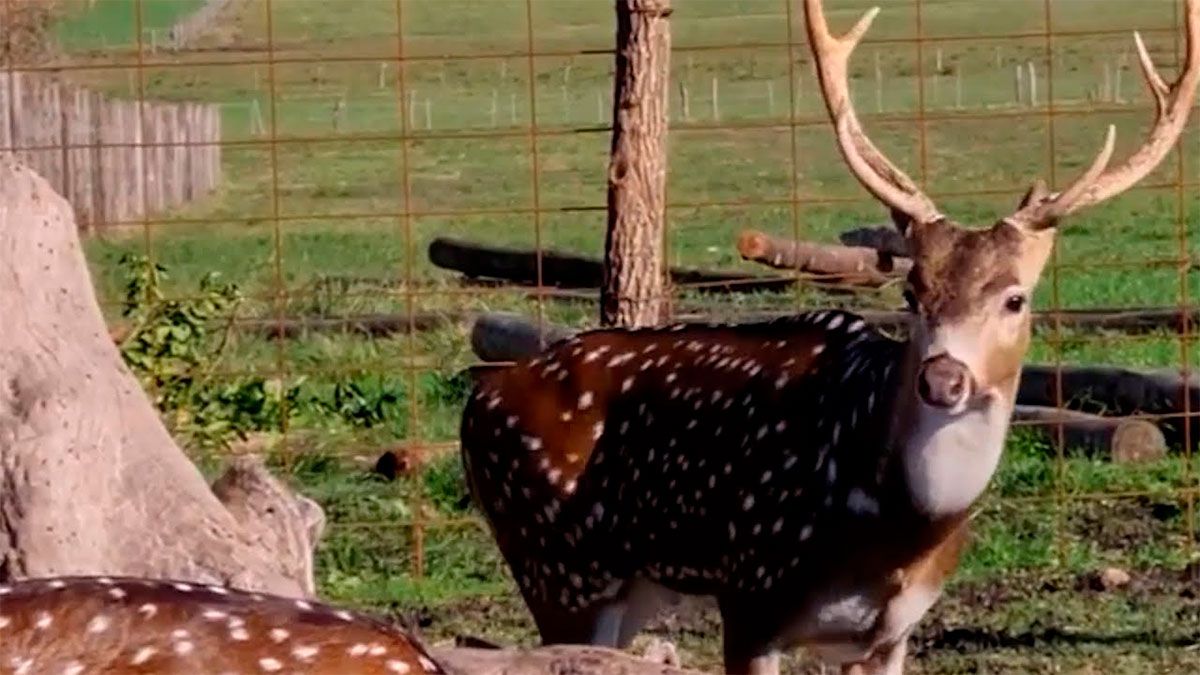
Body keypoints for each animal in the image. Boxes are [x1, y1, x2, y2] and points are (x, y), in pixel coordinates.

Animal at [458, 0, 1199, 673]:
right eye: (912, 291)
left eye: (1015, 298)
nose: (943, 378)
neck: (896, 534)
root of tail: (480, 397)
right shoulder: (751, 596)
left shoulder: (892, 634)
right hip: (558, 566)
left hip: (627, 587)